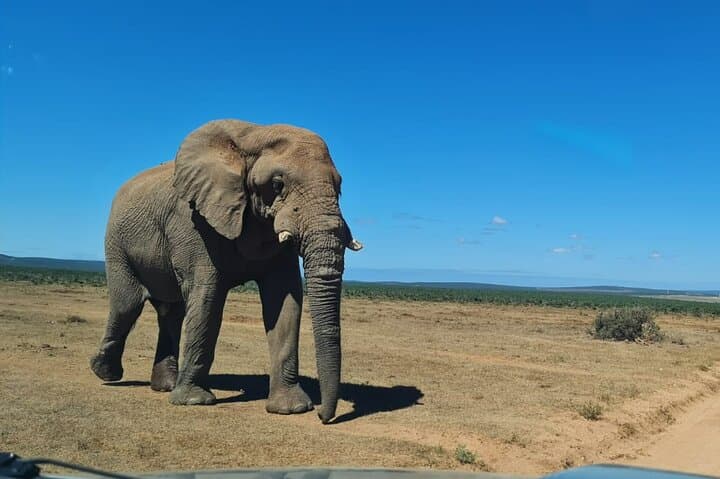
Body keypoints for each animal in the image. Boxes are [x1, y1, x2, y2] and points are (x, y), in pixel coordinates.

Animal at [89, 119, 362, 424]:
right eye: (277, 184)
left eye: (339, 187)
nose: (325, 417)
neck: (253, 135)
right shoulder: (193, 220)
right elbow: (208, 297)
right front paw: (194, 402)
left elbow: (285, 300)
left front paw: (291, 409)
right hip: (117, 244)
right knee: (127, 305)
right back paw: (105, 372)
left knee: (170, 313)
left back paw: (165, 386)